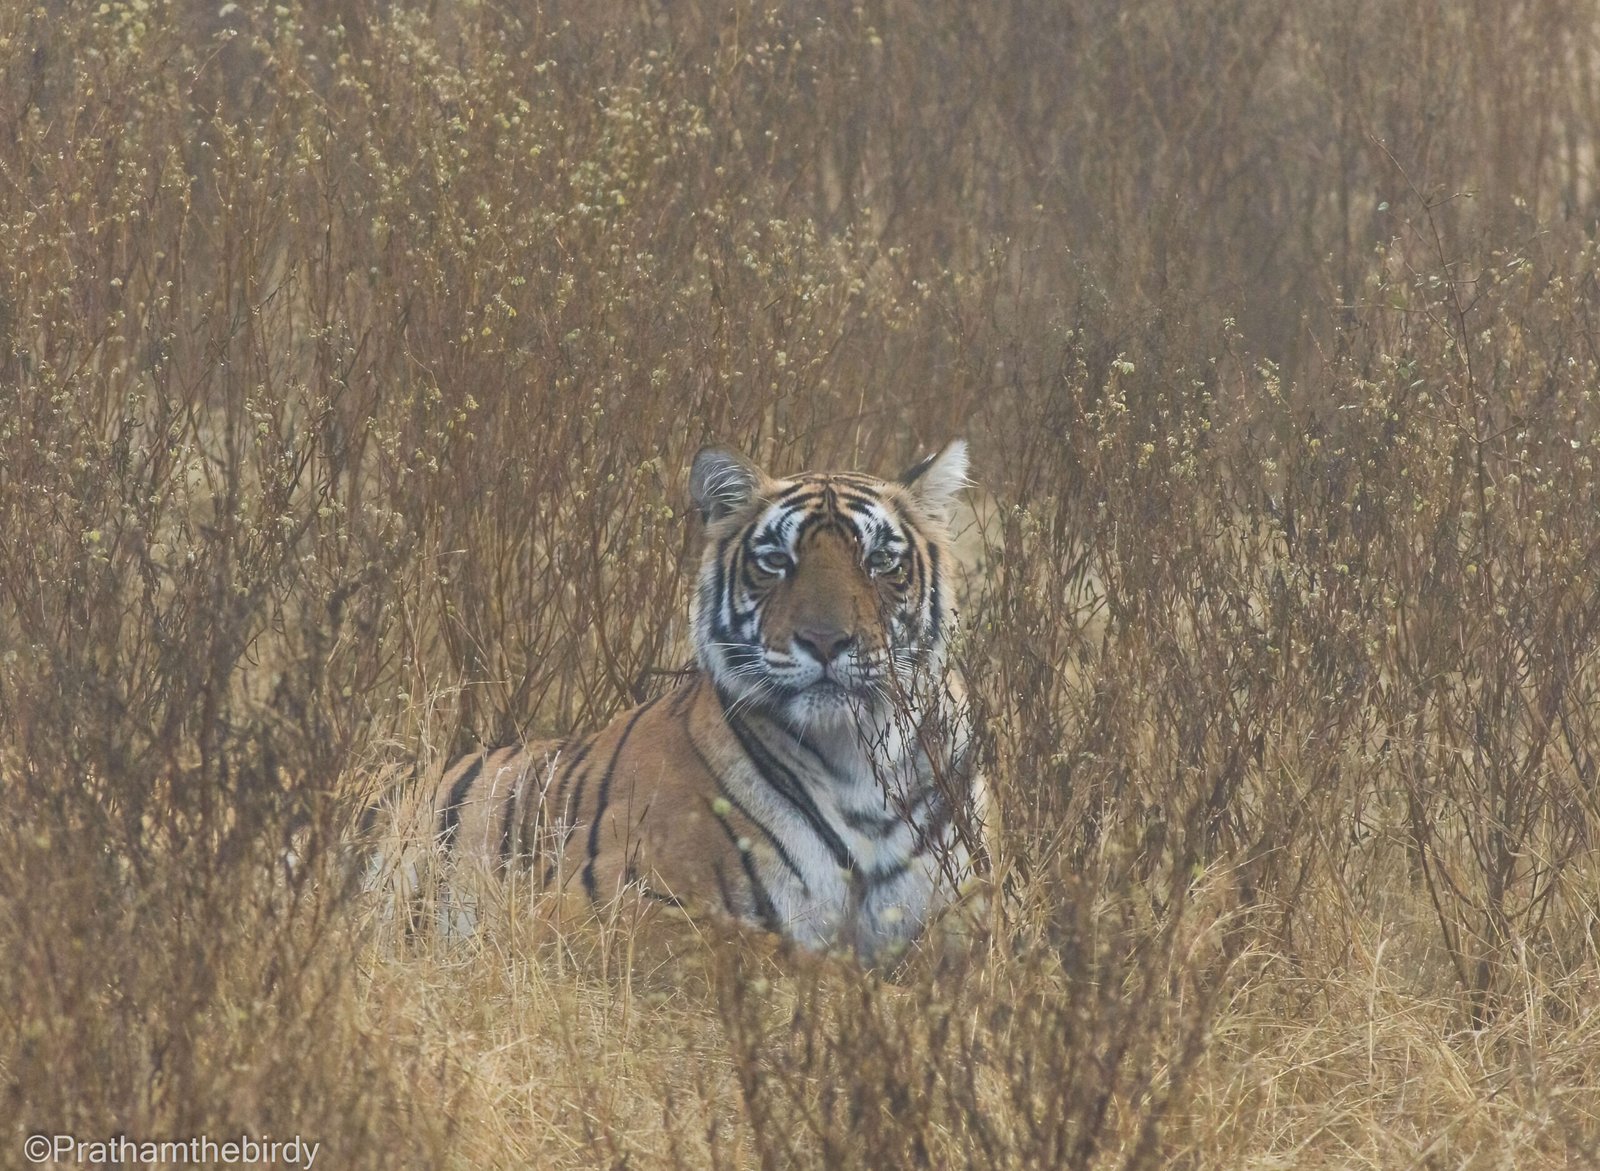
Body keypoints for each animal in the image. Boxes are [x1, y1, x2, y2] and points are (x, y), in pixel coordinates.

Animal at [421, 440, 984, 962]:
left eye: (880, 561)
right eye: (776, 562)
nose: (825, 641)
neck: (858, 760)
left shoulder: (964, 906)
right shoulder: (603, 897)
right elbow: (775, 958)